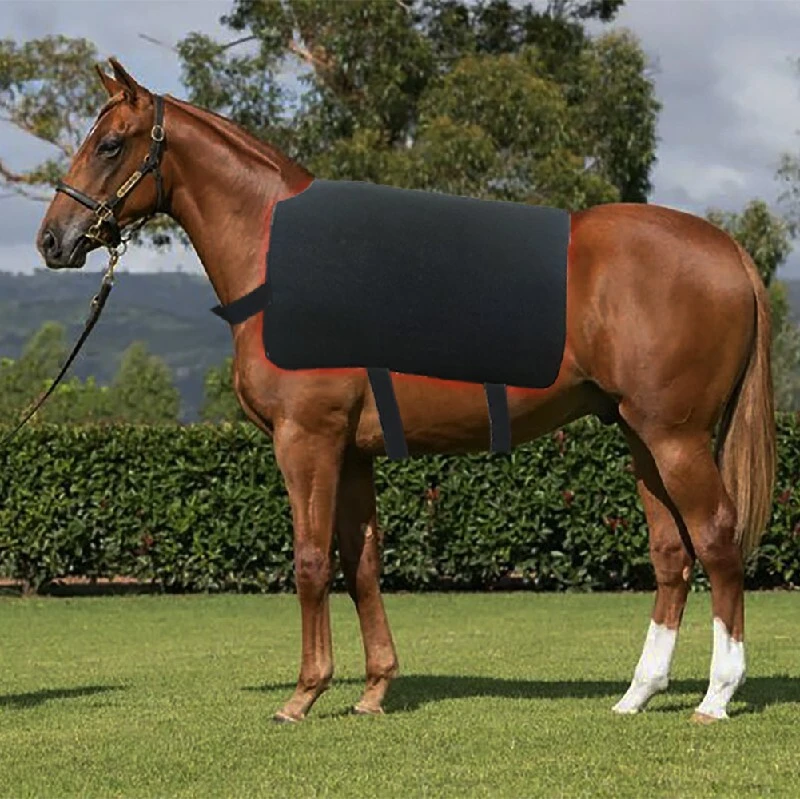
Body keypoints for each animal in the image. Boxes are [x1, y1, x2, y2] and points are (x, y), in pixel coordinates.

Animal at [36, 59, 775, 724]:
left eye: (109, 143)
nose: (52, 240)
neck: (290, 264)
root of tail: (728, 250)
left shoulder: (306, 440)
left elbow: (310, 561)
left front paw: (303, 696)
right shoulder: (352, 453)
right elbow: (362, 563)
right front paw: (373, 691)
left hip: (676, 438)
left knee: (716, 538)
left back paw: (716, 696)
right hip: (640, 435)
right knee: (672, 552)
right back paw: (637, 694)